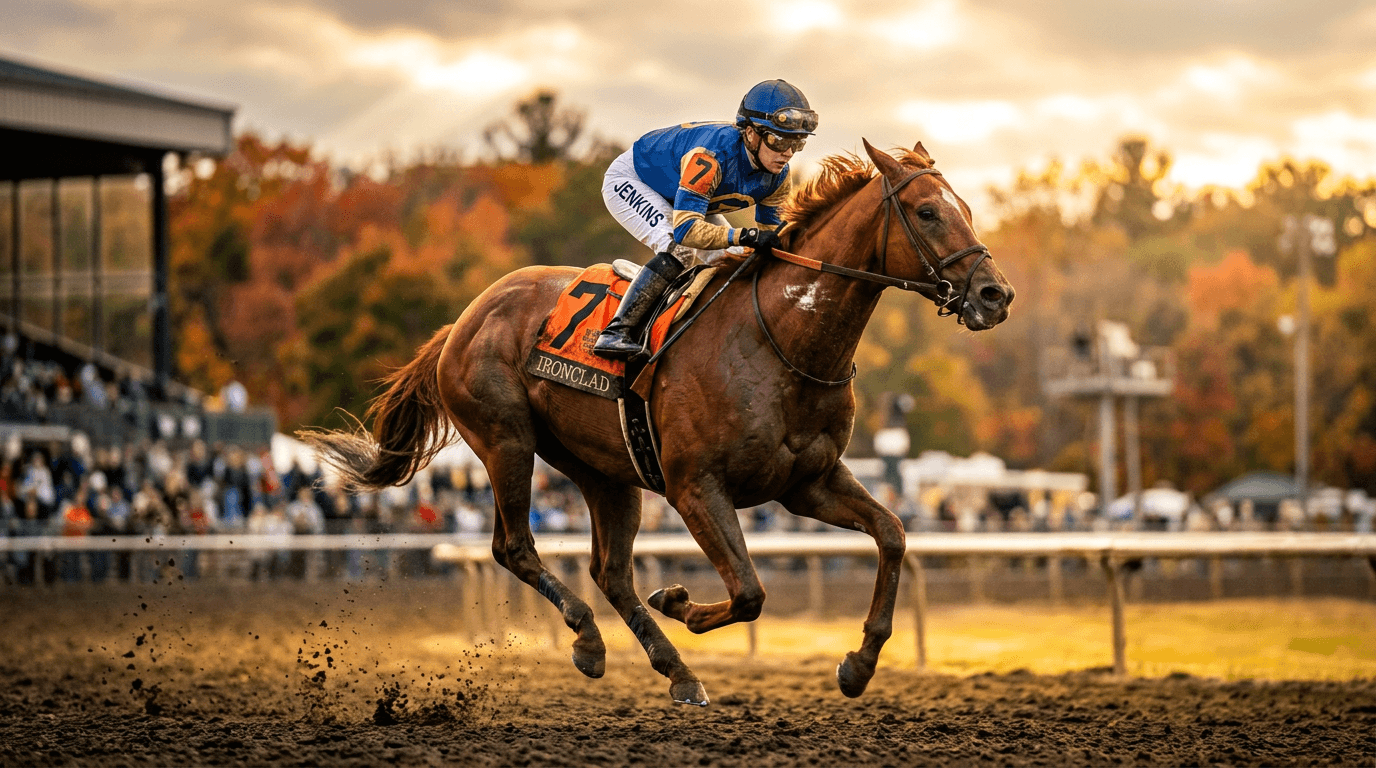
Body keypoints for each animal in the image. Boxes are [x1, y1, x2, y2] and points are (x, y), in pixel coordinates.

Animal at [301, 139, 1014, 706]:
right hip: (507, 441)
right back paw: (591, 640)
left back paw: (674, 672)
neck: (781, 339)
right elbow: (750, 591)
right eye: (927, 212)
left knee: (610, 571)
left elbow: (892, 534)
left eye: (966, 207)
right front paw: (679, 604)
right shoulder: (696, 487)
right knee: (515, 547)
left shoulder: (805, 482)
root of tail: (464, 319)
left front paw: (859, 664)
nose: (994, 294)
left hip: (605, 471)